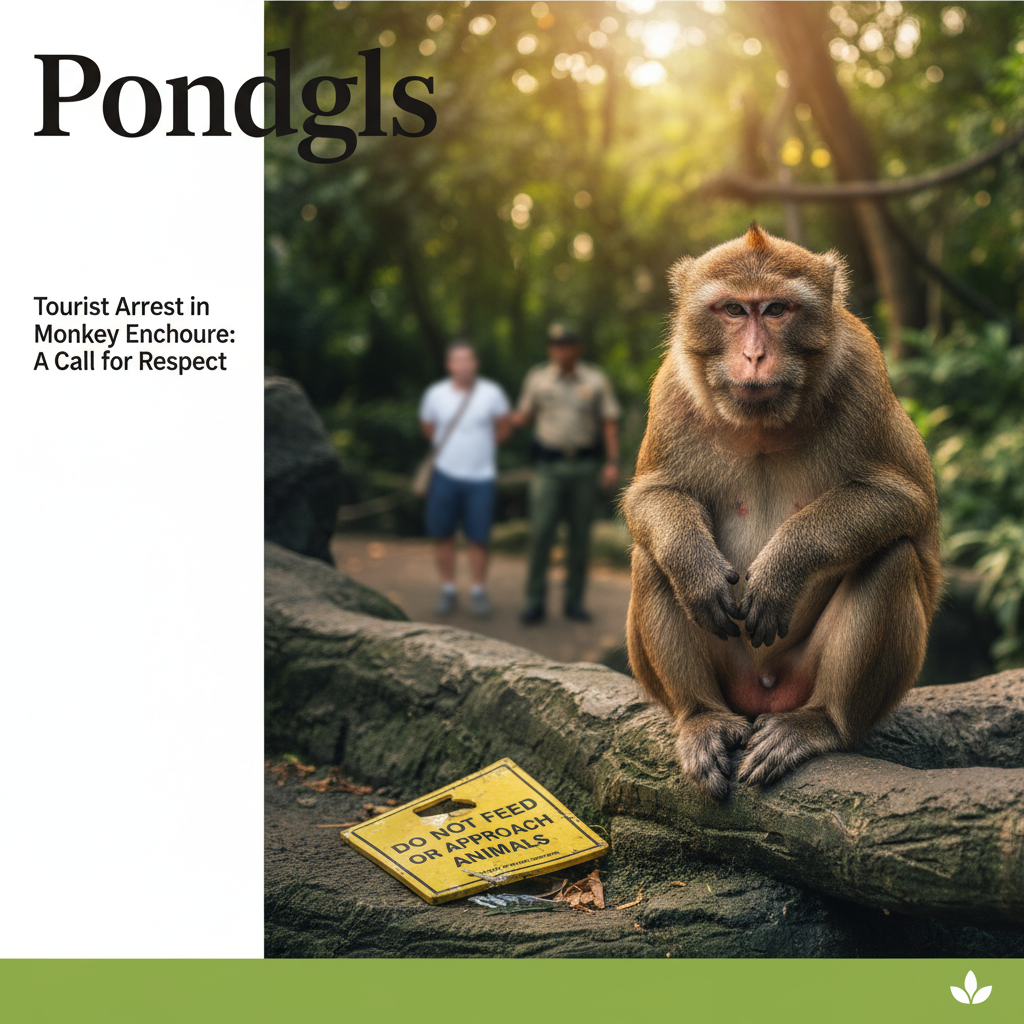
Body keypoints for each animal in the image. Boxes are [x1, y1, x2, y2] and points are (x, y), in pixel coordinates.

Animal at [622, 224, 941, 801]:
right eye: (732, 309)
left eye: (776, 310)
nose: (753, 356)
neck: (761, 424)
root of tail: (761, 694)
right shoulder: (671, 386)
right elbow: (653, 495)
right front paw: (696, 567)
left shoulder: (862, 370)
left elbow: (902, 500)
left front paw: (779, 572)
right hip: (727, 676)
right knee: (650, 559)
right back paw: (701, 717)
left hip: (806, 678)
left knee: (892, 557)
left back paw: (819, 723)